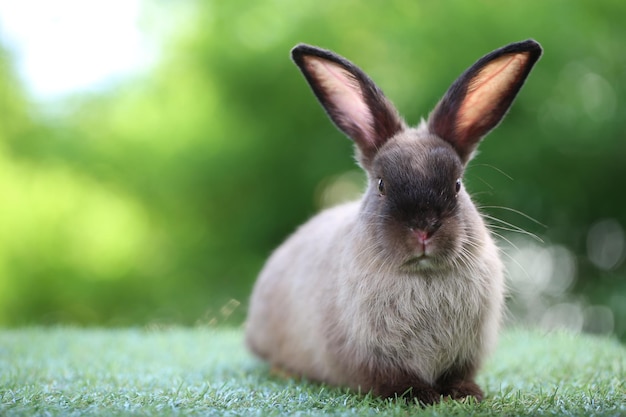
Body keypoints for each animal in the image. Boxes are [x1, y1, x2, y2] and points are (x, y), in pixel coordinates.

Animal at [245, 39, 540, 404]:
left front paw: (465, 394)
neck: (423, 277)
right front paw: (420, 396)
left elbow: (457, 375)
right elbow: (392, 380)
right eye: (382, 185)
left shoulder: (464, 356)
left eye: (457, 185)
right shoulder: (370, 359)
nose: (424, 228)